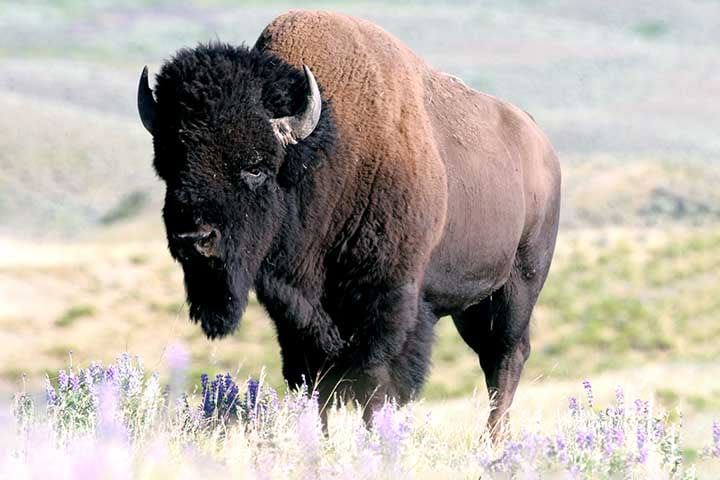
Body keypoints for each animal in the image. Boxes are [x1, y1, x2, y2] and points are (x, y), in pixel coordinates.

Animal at [138, 10, 560, 437]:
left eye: (256, 167)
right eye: (169, 163)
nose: (194, 238)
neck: (325, 154)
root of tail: (541, 144)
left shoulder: (388, 301)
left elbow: (375, 381)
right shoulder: (295, 312)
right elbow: (311, 382)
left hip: (519, 286)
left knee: (506, 358)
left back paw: (494, 438)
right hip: (470, 304)